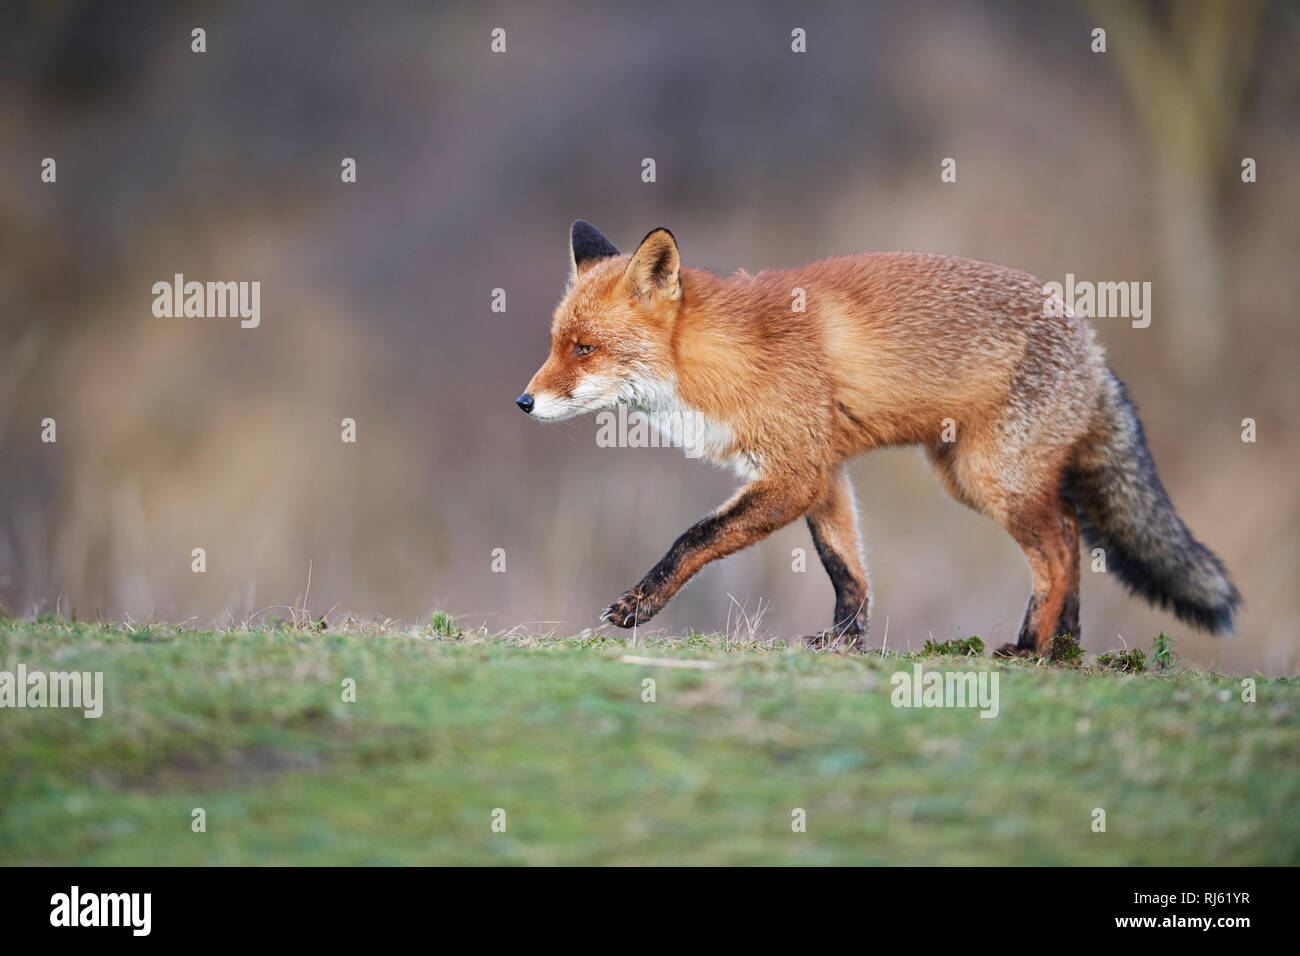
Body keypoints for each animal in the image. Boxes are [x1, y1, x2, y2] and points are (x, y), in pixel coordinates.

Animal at [517, 221, 1241, 657]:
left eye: (585, 349)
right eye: (554, 344)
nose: (523, 402)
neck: (724, 358)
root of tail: (1093, 348)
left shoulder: (795, 472)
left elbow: (693, 538)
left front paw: (639, 606)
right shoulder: (825, 472)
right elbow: (846, 567)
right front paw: (844, 642)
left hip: (991, 478)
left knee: (1061, 551)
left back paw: (1030, 650)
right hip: (980, 476)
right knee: (1070, 536)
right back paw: (1061, 651)